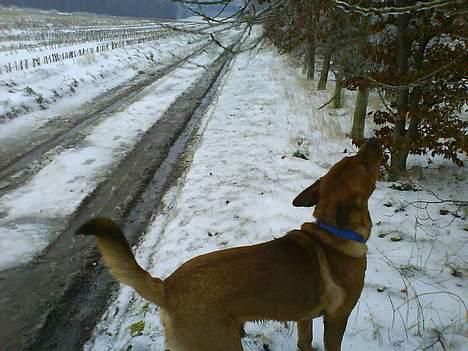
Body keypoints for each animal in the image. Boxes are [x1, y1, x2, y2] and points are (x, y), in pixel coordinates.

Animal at [77, 138, 384, 351]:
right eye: (363, 164)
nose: (373, 140)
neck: (332, 234)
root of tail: (167, 288)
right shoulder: (336, 319)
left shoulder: (304, 318)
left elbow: (304, 342)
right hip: (221, 343)